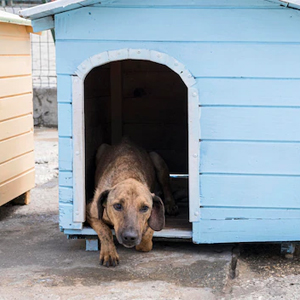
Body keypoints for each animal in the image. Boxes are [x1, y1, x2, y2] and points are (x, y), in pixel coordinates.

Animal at [85, 138, 178, 268]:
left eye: (145, 208)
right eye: (117, 206)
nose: (130, 237)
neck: (127, 175)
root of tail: (126, 139)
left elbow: (145, 240)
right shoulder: (90, 212)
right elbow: (105, 231)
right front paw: (109, 253)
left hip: (156, 158)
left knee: (166, 185)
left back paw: (170, 204)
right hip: (101, 148)